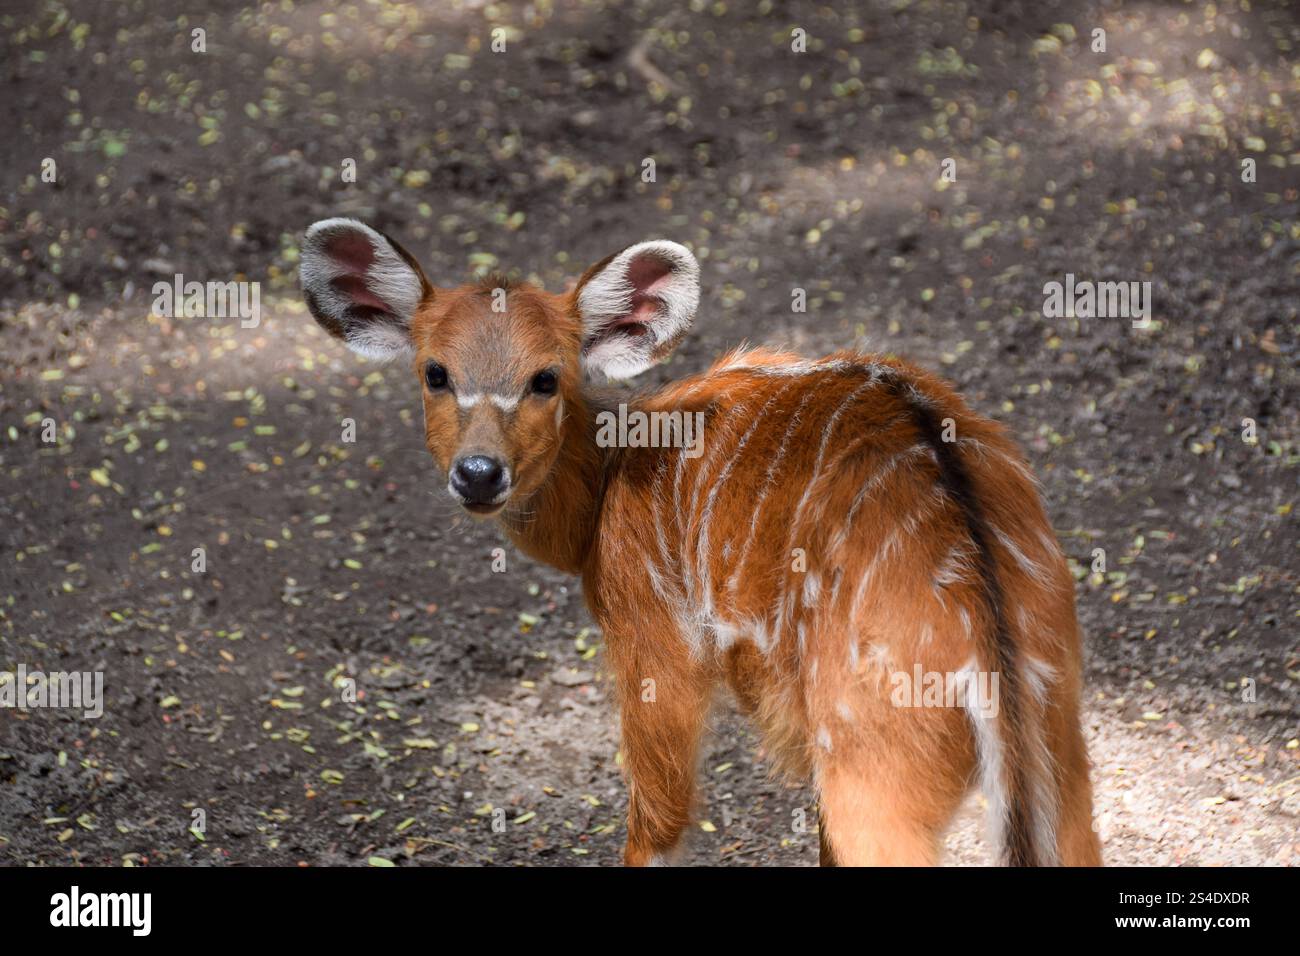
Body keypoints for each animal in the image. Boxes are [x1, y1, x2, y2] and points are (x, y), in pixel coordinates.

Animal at [299, 217, 1102, 868]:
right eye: (434, 372)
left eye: (546, 377)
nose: (478, 474)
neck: (606, 491)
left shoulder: (655, 639)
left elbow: (658, 823)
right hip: (1058, 748)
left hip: (870, 757)